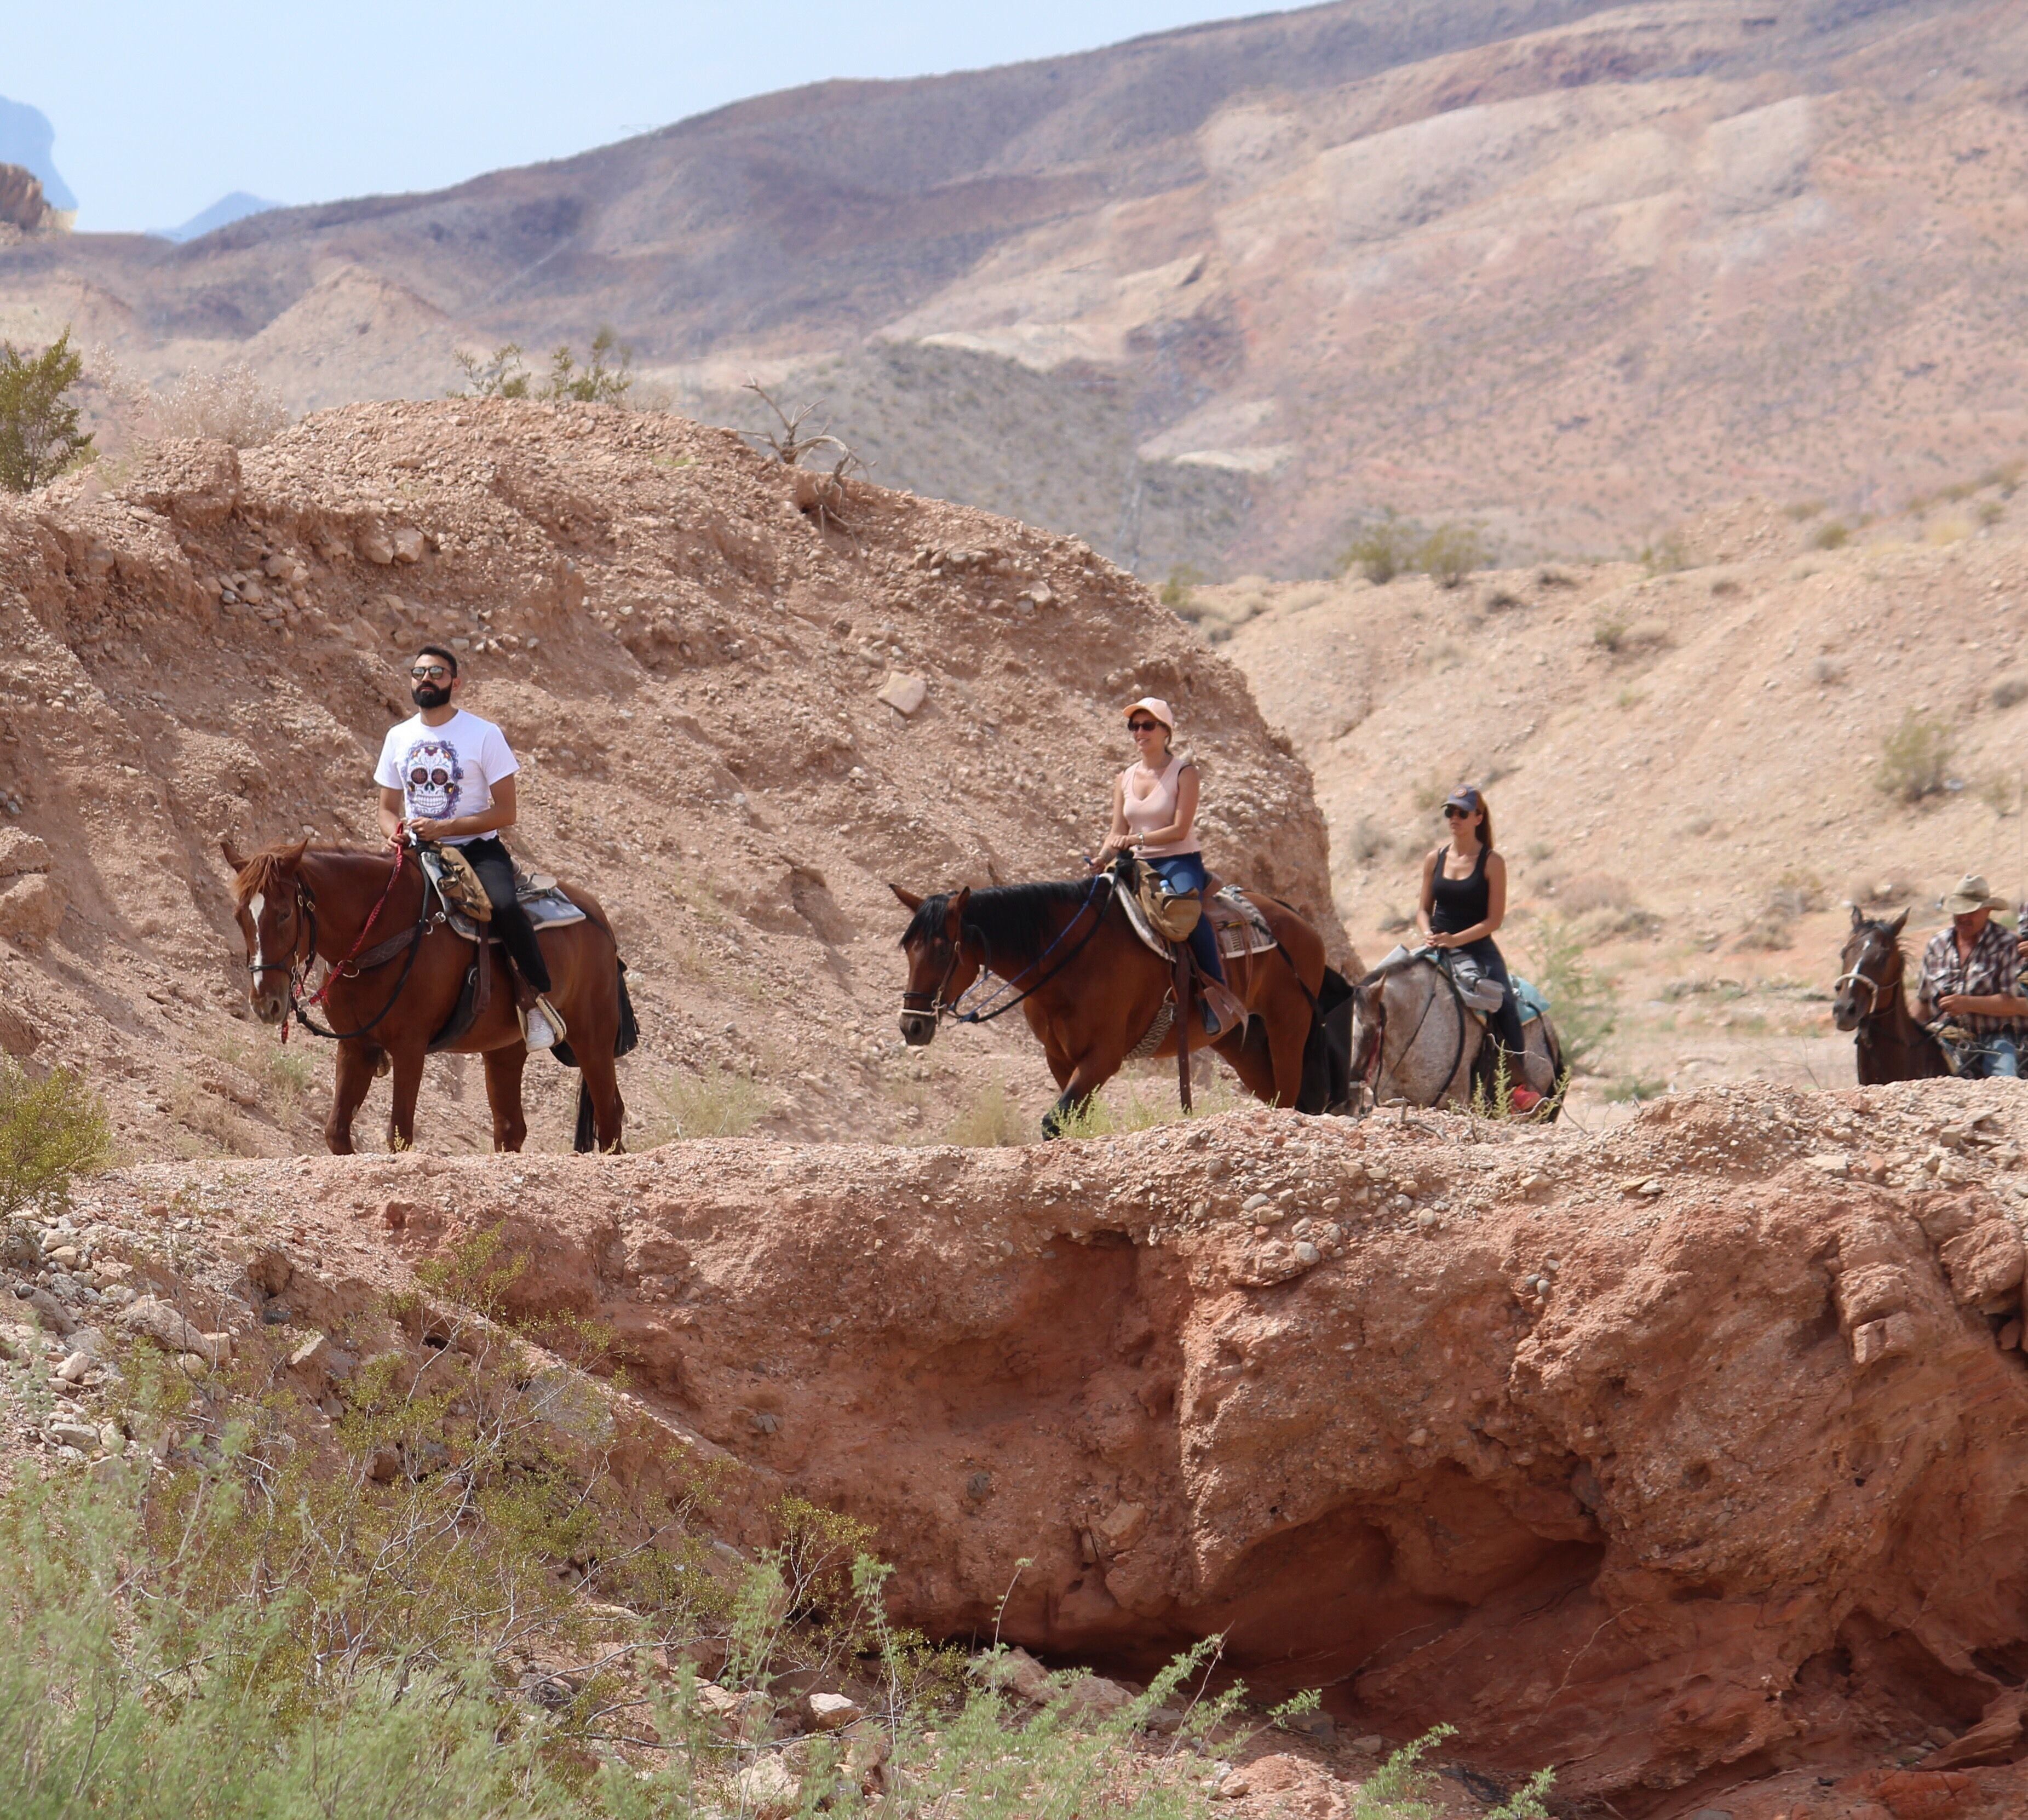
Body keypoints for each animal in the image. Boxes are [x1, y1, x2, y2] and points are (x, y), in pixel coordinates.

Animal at [221, 836, 633, 1152]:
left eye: (284, 913)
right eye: (239, 916)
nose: (266, 1003)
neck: (381, 933)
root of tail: (599, 919)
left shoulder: (410, 1047)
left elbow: (399, 1135)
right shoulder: (357, 1047)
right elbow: (336, 1132)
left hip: (592, 1037)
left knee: (610, 1116)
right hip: (505, 1049)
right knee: (510, 1128)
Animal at [892, 868, 1346, 1136]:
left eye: (941, 950)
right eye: (908, 949)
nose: (911, 1025)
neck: (1070, 959)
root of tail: (1299, 923)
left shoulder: (1103, 1057)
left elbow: (1053, 1122)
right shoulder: (1061, 1060)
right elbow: (1070, 1118)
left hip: (1288, 1029)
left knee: (1290, 1101)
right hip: (1245, 1046)